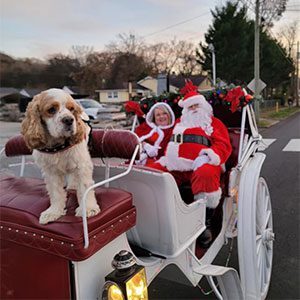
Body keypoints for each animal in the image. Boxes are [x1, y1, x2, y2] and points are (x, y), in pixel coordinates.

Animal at [21, 88, 101, 224]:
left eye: (71, 109)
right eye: (51, 109)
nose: (69, 120)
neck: (57, 145)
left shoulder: (82, 165)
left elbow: (84, 188)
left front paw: (88, 209)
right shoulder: (50, 172)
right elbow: (56, 193)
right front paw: (53, 212)